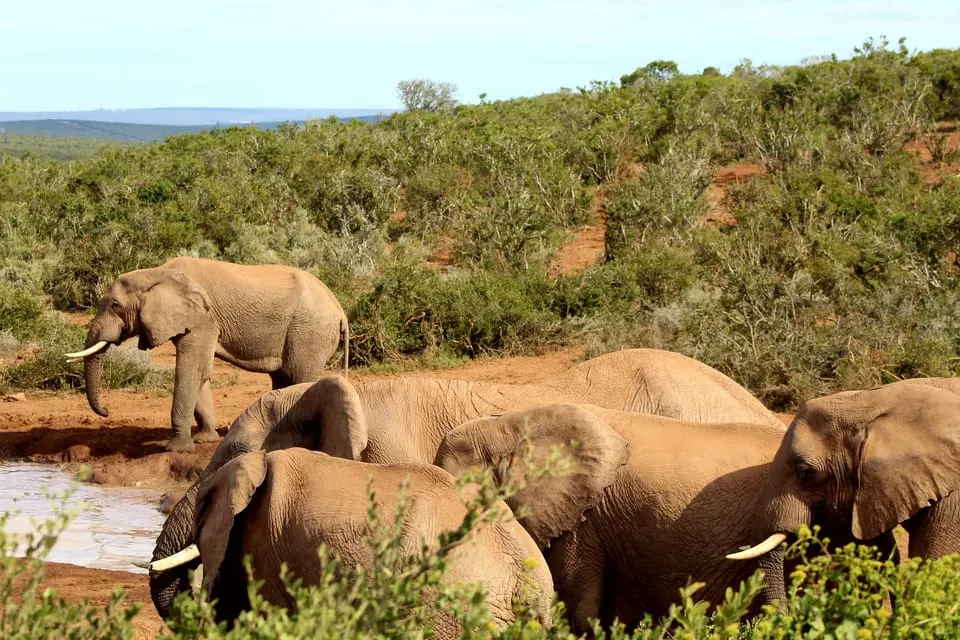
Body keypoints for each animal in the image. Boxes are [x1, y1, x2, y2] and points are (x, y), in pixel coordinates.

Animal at [64, 256, 349, 452]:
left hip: (310, 332)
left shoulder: (203, 319)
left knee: (301, 376)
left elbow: (190, 368)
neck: (157, 273)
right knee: (282, 378)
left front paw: (175, 449)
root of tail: (340, 310)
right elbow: (199, 372)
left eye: (115, 306)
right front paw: (204, 439)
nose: (106, 412)